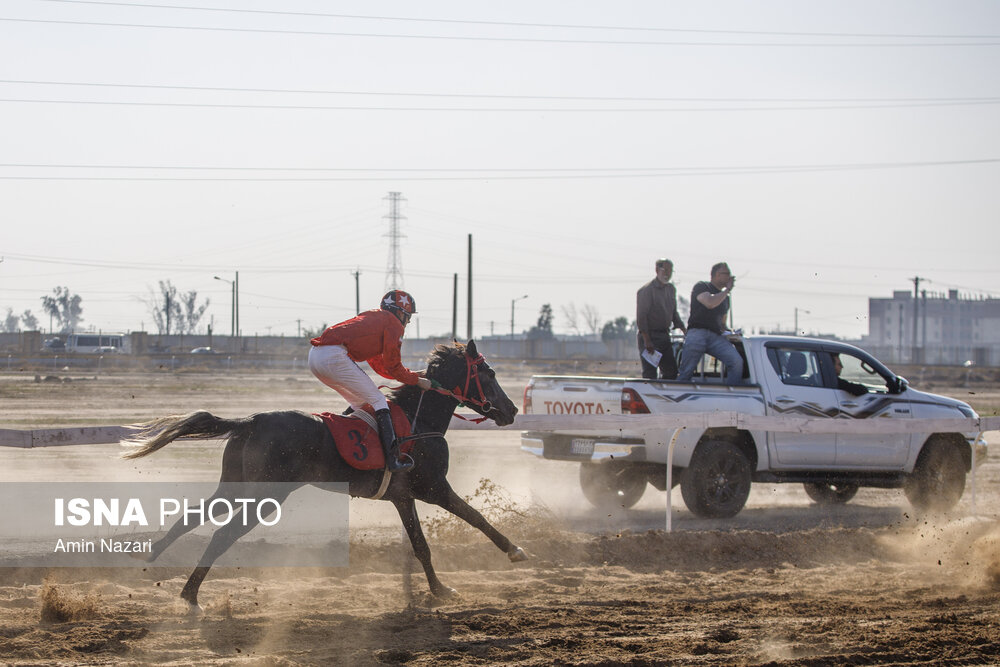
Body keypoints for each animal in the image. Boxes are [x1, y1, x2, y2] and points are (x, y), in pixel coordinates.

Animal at [122, 342, 528, 612]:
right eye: (489, 374)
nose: (511, 410)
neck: (419, 420)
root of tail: (250, 420)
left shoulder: (403, 496)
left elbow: (422, 544)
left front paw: (441, 589)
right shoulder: (432, 488)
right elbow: (473, 518)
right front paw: (513, 552)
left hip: (236, 485)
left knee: (194, 514)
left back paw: (156, 555)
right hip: (265, 494)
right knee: (223, 534)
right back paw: (190, 596)